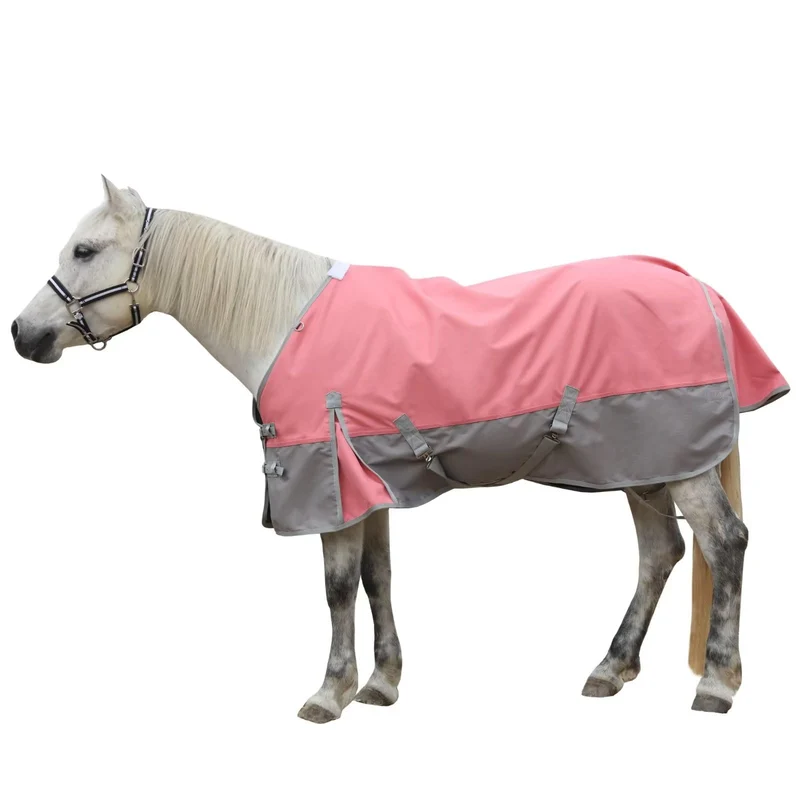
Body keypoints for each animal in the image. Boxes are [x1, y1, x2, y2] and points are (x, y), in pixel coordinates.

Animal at [12, 177, 788, 721]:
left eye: (84, 252)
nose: (23, 334)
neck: (285, 322)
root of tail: (697, 288)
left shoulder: (327, 486)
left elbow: (335, 587)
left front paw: (329, 693)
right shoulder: (368, 487)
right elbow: (376, 579)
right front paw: (381, 684)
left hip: (677, 463)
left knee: (725, 543)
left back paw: (716, 683)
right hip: (644, 464)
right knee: (661, 553)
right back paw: (611, 668)